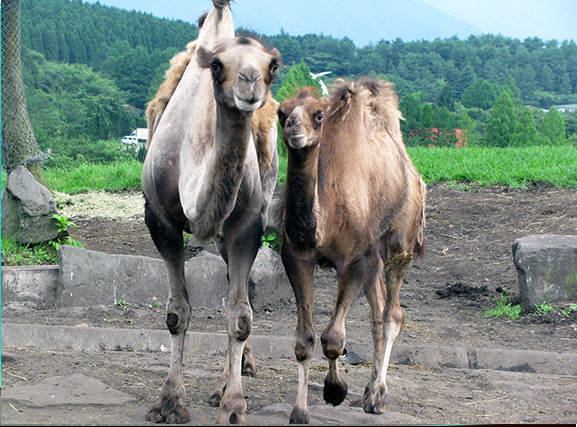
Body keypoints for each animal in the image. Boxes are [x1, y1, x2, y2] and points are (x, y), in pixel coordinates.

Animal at [142, 0, 282, 422]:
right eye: (217, 66)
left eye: (273, 66)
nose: (250, 82)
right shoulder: (160, 220)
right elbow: (177, 313)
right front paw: (169, 402)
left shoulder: (247, 225)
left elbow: (240, 316)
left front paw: (233, 405)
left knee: (240, 293)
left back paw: (230, 378)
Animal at [276, 79, 426, 424]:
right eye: (281, 112)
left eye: (319, 115)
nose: (293, 127)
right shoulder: (296, 257)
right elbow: (305, 339)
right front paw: (300, 410)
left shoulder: (355, 260)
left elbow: (333, 339)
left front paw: (335, 390)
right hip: (375, 259)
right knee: (377, 315)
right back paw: (368, 392)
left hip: (399, 241)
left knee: (392, 315)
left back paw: (378, 397)